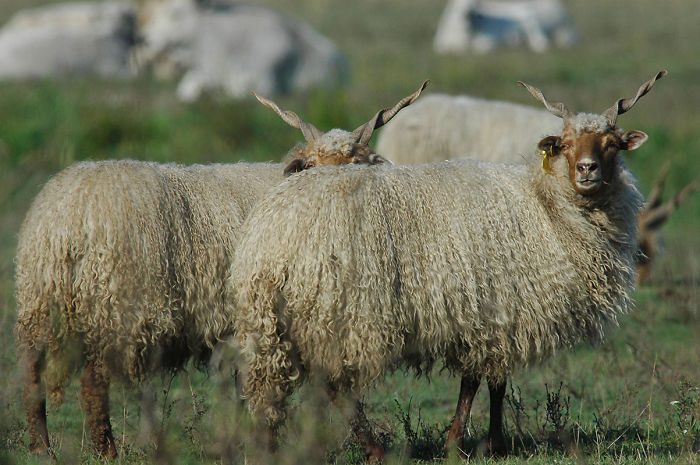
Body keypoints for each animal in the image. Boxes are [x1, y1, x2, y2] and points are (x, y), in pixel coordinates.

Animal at [14, 81, 427, 458]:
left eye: (357, 165)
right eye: (311, 165)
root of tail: (70, 218)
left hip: (40, 301)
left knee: (31, 375)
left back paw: (41, 448)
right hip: (115, 308)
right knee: (93, 381)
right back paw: (106, 452)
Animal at [229, 71, 665, 460]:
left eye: (613, 144)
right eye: (565, 144)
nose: (587, 169)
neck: (545, 207)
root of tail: (269, 237)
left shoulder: (491, 315)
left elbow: (490, 381)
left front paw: (486, 442)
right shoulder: (494, 311)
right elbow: (482, 381)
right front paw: (468, 443)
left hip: (275, 326)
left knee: (269, 390)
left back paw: (268, 449)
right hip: (337, 312)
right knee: (335, 386)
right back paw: (376, 451)